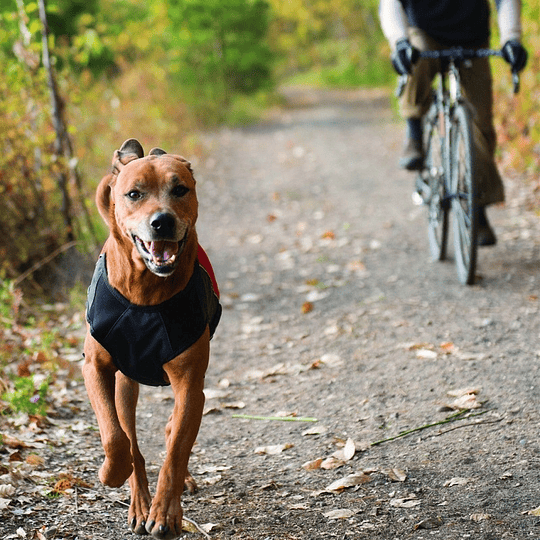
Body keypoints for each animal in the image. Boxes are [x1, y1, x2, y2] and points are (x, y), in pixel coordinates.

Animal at [83, 137, 221, 536]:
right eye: (134, 193)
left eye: (180, 190)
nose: (162, 221)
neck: (145, 292)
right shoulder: (95, 367)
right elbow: (116, 437)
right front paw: (113, 473)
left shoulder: (190, 383)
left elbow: (175, 452)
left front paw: (165, 513)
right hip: (126, 384)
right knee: (130, 435)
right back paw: (138, 500)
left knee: (173, 432)